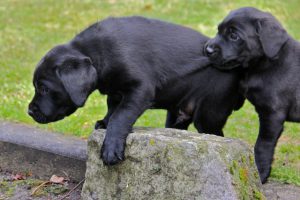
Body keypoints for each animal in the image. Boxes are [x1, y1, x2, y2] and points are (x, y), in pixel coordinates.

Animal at [28, 16, 244, 166]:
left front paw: (111, 148)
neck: (98, 53)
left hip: (208, 114)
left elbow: (121, 115)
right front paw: (104, 123)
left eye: (44, 88)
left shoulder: (141, 89)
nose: (30, 111)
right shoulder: (115, 91)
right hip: (177, 116)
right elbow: (113, 108)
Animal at [204, 7, 298, 183]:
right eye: (218, 30)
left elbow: (263, 145)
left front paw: (260, 173)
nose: (207, 49)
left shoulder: (272, 115)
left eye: (234, 36)